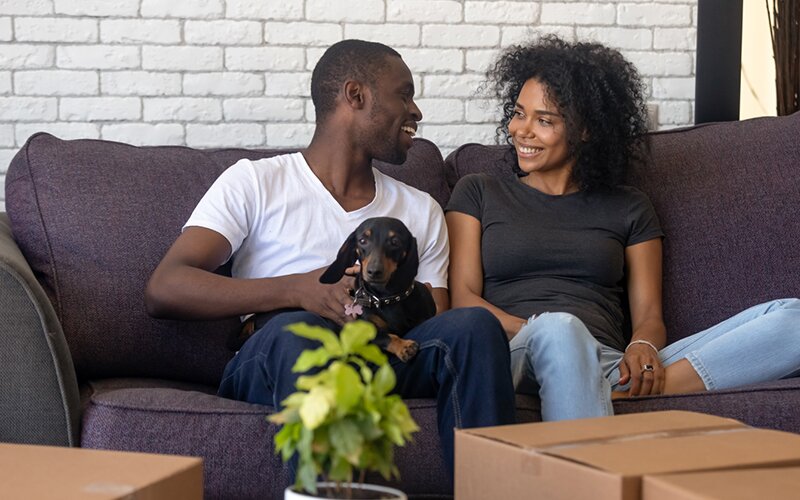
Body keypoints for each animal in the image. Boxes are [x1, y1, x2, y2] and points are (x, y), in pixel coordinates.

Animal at [318, 217, 438, 362]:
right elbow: (385, 336)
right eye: (362, 241)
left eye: (395, 241)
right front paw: (404, 346)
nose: (374, 271)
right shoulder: (366, 329)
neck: (387, 297)